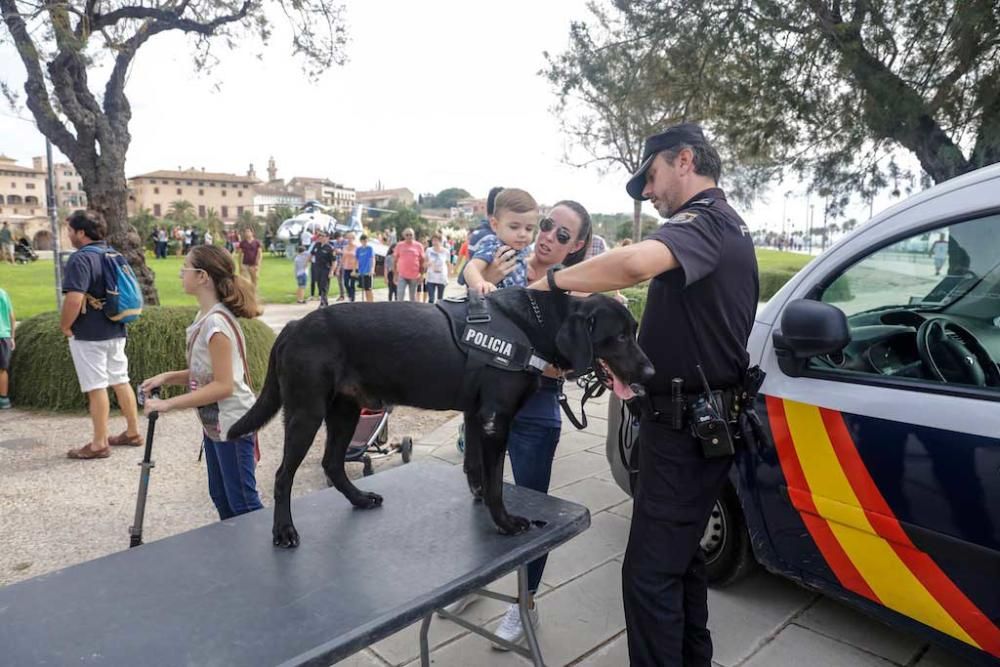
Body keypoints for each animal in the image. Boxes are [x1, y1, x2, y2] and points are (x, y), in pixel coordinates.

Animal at [232, 288, 656, 548]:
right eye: (619, 337)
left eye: (635, 331)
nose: (650, 372)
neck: (534, 326)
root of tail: (293, 326)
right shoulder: (496, 419)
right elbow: (496, 481)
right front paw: (504, 522)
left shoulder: (477, 416)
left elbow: (476, 469)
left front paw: (481, 501)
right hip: (306, 413)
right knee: (283, 475)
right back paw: (284, 530)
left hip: (346, 411)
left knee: (333, 463)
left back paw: (359, 498)